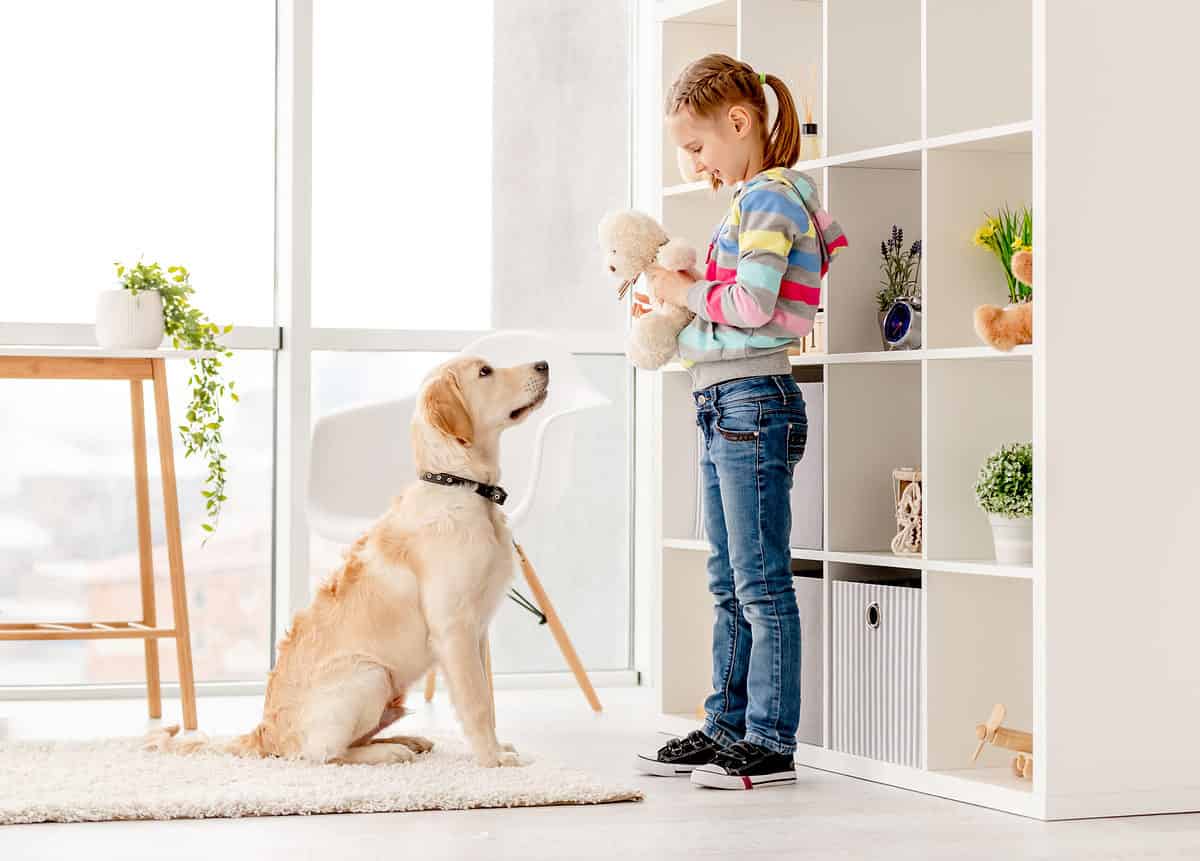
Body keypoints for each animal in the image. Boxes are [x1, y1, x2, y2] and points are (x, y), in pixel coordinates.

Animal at [146, 354, 552, 767]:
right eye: (485, 372)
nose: (544, 364)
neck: (460, 485)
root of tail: (264, 734)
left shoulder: (478, 631)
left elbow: (487, 696)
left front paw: (497, 749)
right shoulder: (454, 628)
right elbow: (477, 702)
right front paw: (492, 760)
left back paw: (407, 739)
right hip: (371, 674)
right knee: (327, 755)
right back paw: (390, 751)